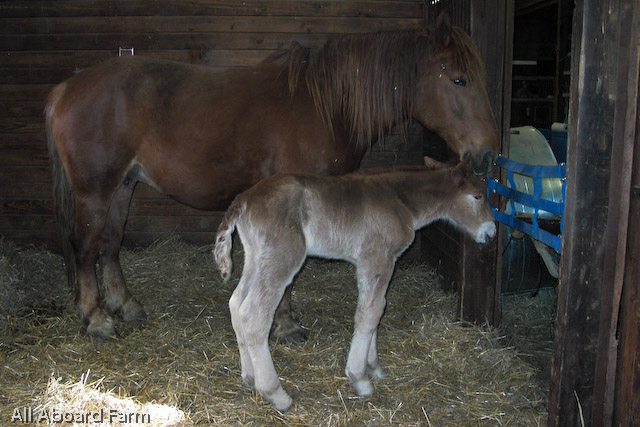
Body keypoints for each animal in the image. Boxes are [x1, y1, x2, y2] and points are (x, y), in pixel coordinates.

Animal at [45, 11, 498, 340]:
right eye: (458, 79)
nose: (487, 152)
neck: (326, 105)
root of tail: (68, 88)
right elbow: (288, 272)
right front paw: (286, 325)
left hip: (122, 186)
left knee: (110, 245)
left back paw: (125, 306)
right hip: (95, 190)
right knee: (86, 246)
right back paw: (96, 318)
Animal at [213, 157, 496, 411]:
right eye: (477, 197)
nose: (491, 232)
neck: (399, 200)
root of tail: (244, 199)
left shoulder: (368, 264)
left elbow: (375, 307)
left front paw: (374, 366)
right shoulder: (378, 258)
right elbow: (370, 314)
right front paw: (360, 378)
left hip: (256, 257)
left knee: (236, 304)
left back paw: (249, 378)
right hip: (281, 258)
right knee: (254, 314)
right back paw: (276, 394)